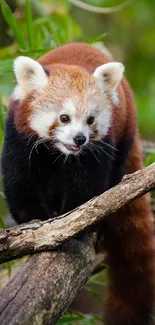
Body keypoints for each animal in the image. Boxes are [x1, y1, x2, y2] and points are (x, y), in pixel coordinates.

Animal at [1, 42, 155, 322]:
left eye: (90, 119)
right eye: (64, 117)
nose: (80, 139)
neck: (60, 152)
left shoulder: (100, 147)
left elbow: (86, 191)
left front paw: (73, 227)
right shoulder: (19, 137)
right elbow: (21, 183)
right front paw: (37, 222)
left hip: (124, 136)